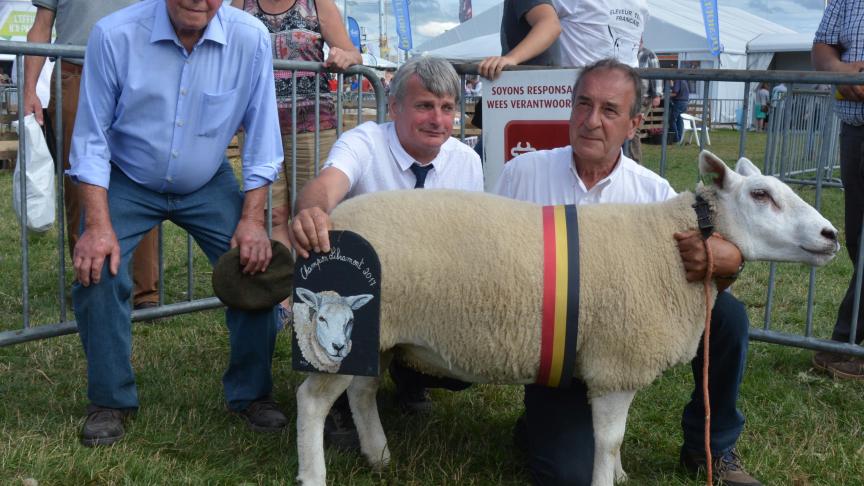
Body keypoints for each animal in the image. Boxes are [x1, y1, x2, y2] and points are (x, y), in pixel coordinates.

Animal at [292, 150, 836, 484]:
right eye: (761, 196)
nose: (831, 236)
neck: (666, 248)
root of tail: (332, 224)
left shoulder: (617, 364)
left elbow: (615, 443)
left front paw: (620, 474)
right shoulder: (617, 364)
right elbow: (608, 439)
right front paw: (606, 479)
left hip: (377, 333)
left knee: (362, 391)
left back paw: (379, 455)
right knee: (312, 402)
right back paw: (314, 473)